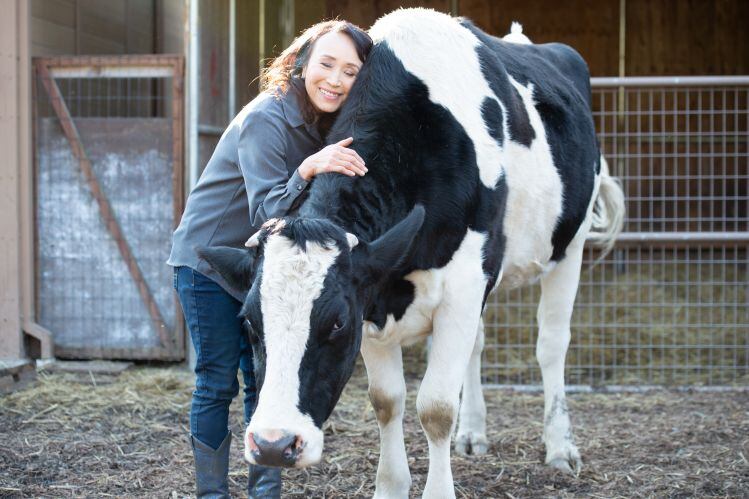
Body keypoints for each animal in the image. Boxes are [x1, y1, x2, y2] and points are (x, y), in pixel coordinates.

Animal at [199, 8, 625, 498]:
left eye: (337, 321)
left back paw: (560, 447)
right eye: (249, 320)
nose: (273, 444)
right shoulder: (377, 291)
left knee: (551, 344)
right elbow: (387, 400)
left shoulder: (460, 284)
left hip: (569, 245)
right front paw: (390, 485)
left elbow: (436, 407)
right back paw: (473, 433)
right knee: (478, 345)